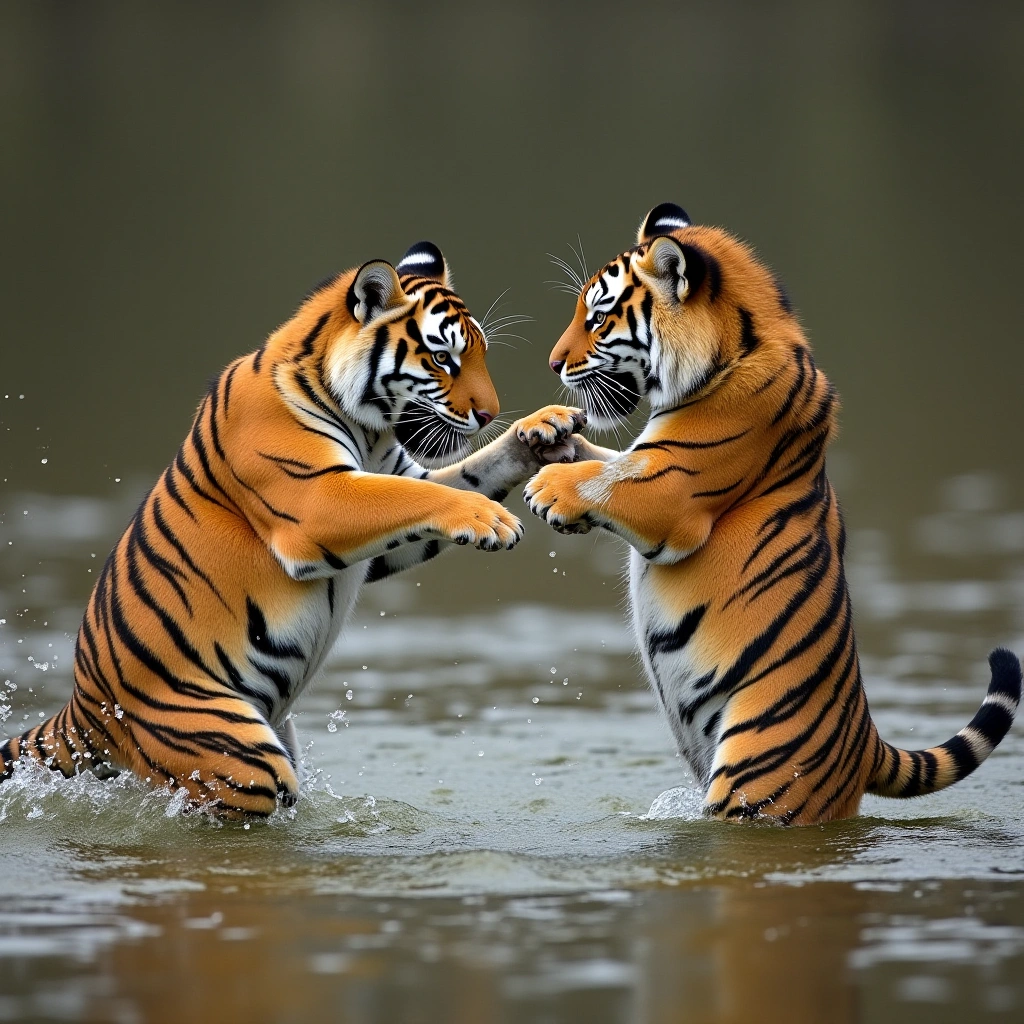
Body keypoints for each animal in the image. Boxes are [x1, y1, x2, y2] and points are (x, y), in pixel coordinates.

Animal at [0, 240, 586, 816]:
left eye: (480, 353)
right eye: (443, 358)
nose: (488, 413)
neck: (369, 426)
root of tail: (80, 709)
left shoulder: (391, 500)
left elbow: (471, 473)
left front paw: (543, 429)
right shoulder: (317, 502)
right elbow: (429, 495)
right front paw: (490, 519)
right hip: (238, 757)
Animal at [525, 203, 1021, 825]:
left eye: (597, 317)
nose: (551, 363)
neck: (735, 349)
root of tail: (867, 741)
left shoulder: (672, 488)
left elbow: (609, 477)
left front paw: (548, 488)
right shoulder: (646, 452)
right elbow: (605, 455)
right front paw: (545, 429)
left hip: (758, 780)